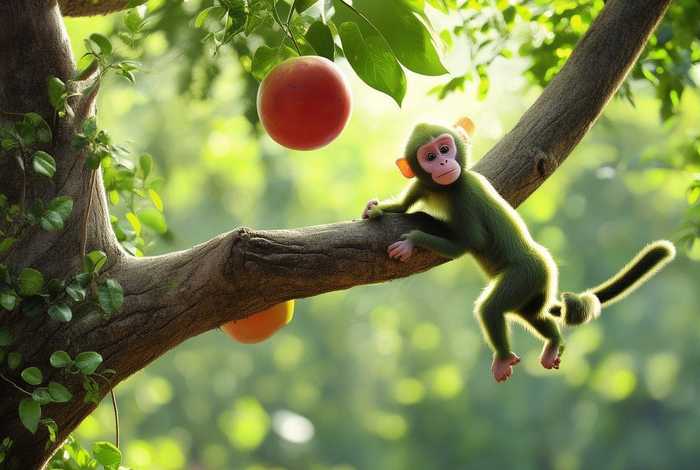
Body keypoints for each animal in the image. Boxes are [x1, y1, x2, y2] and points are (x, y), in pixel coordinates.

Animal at [362, 118, 675, 383]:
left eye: (444, 148)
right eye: (429, 157)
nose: (443, 162)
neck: (444, 188)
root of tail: (547, 267)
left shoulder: (464, 193)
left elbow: (468, 243)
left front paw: (412, 241)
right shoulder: (421, 184)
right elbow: (404, 205)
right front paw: (376, 209)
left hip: (524, 274)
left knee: (491, 309)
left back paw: (503, 358)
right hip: (532, 287)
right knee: (532, 315)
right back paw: (553, 342)